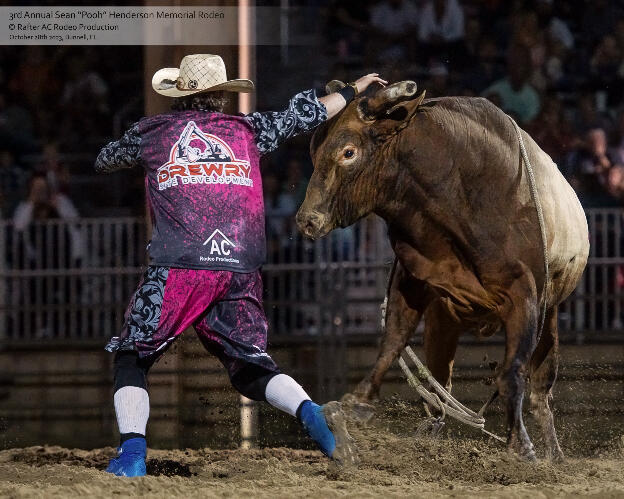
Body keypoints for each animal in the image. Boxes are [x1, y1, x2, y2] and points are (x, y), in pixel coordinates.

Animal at [296, 81, 589, 460]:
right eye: (315, 151)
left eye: (348, 152)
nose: (307, 220)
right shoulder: (411, 282)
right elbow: (392, 341)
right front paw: (357, 402)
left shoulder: (525, 296)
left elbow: (512, 373)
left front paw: (521, 444)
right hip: (444, 319)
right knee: (440, 385)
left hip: (549, 314)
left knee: (540, 388)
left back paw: (553, 452)